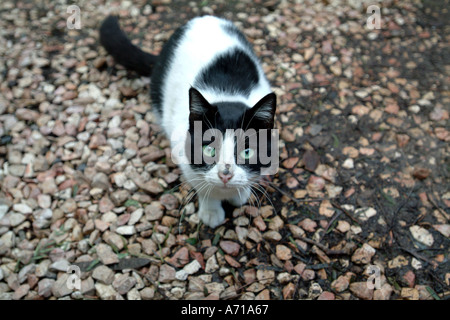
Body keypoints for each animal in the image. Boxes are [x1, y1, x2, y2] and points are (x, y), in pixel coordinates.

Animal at [101, 15, 278, 228]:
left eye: (247, 152)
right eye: (208, 150)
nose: (225, 174)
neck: (228, 94)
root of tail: (202, 18)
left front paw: (241, 193)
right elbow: (202, 186)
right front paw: (211, 211)